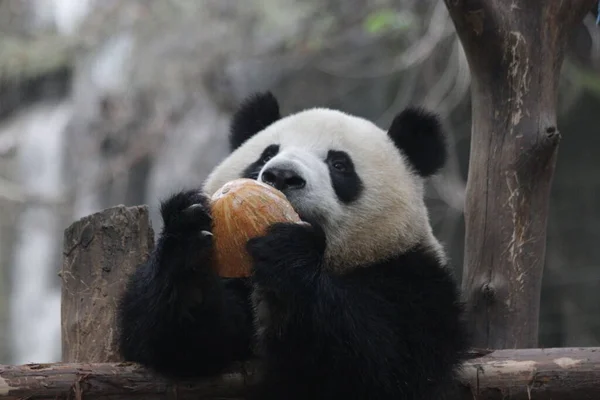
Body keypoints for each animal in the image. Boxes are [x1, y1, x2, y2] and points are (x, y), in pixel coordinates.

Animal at [116, 91, 468, 400]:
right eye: (267, 154)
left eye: (339, 165)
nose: (282, 175)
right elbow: (177, 346)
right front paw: (188, 238)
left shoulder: (413, 280)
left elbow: (386, 365)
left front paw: (287, 253)